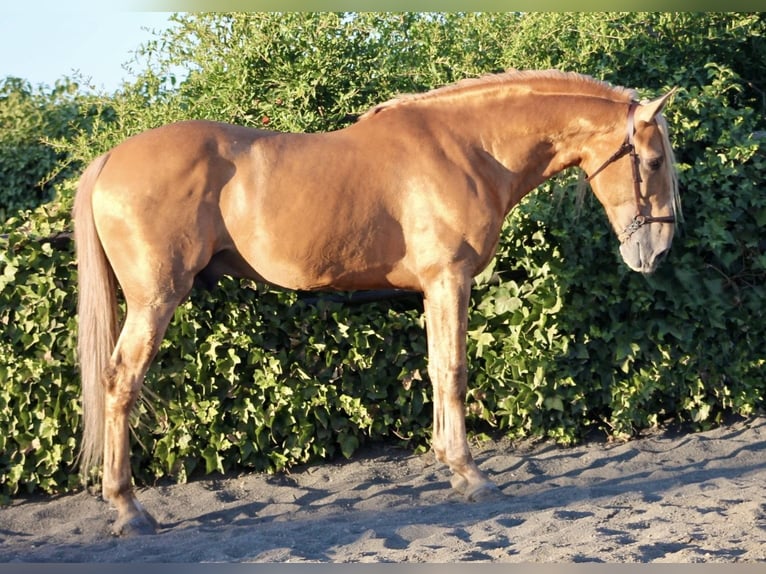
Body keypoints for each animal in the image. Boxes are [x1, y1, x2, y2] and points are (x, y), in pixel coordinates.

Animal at [73, 70, 680, 536]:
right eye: (652, 162)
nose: (657, 250)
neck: (470, 150)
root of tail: (111, 159)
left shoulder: (435, 288)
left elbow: (435, 370)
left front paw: (449, 465)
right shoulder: (450, 280)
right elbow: (454, 372)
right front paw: (471, 475)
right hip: (154, 300)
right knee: (120, 384)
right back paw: (128, 508)